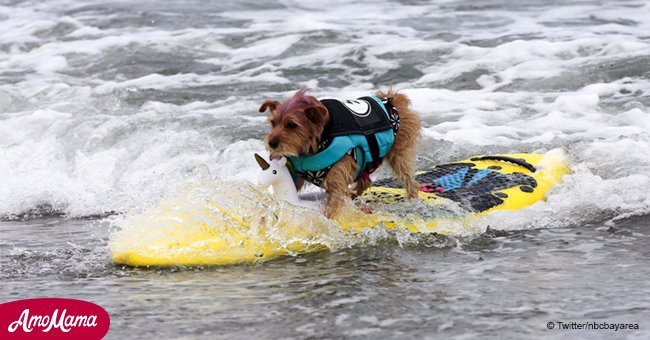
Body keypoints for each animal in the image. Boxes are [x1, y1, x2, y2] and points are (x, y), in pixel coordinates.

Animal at [258, 88, 420, 218]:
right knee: (365, 181)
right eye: (273, 123)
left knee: (409, 180)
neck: (319, 141)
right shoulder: (298, 176)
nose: (271, 143)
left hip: (398, 154)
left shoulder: (338, 177)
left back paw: (412, 199)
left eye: (291, 125)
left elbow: (331, 206)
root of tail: (390, 99)